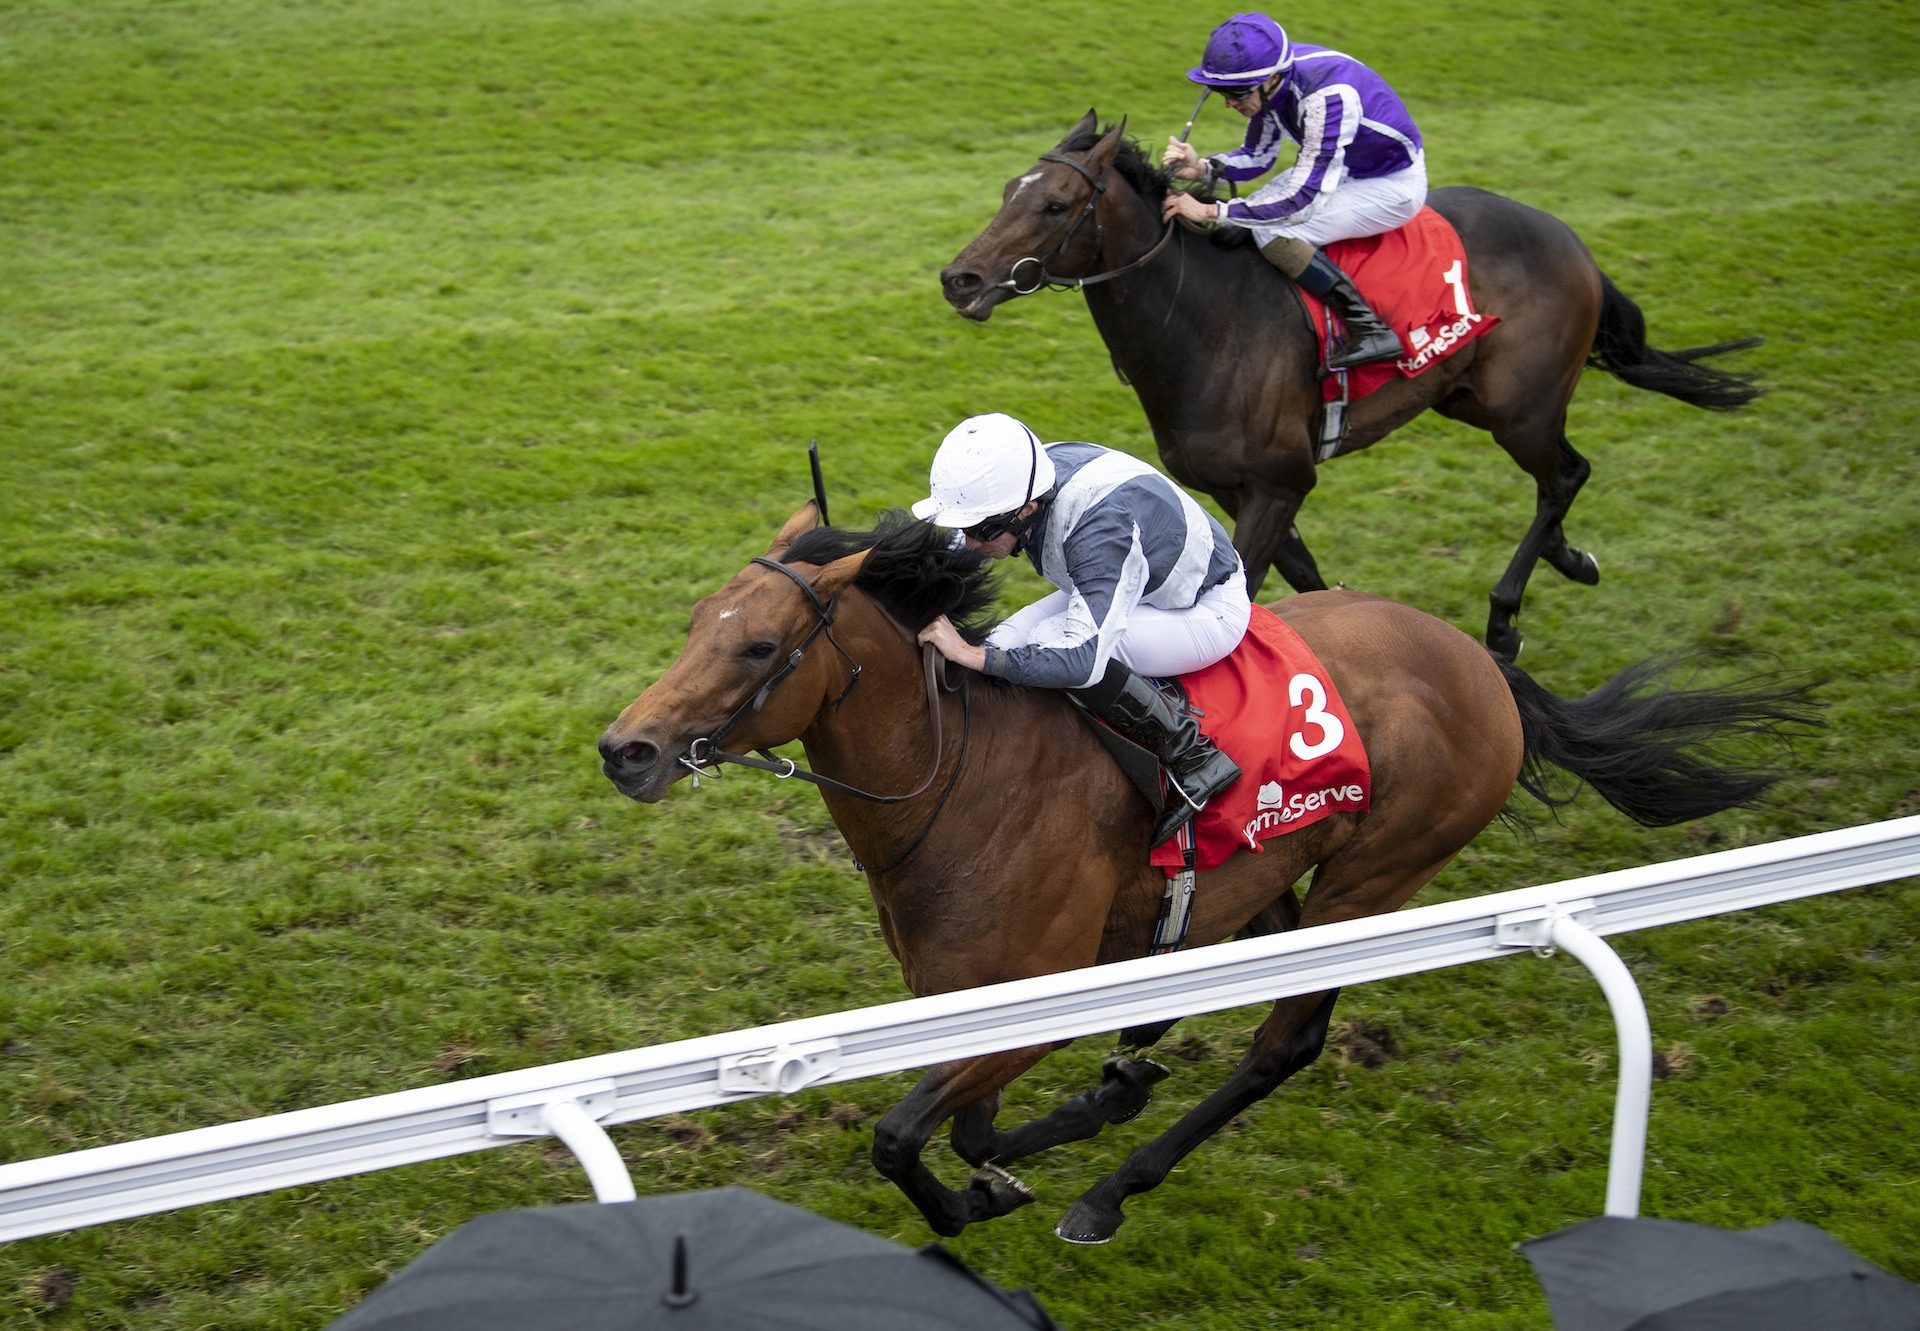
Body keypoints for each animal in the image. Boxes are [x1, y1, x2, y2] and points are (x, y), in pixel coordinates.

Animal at [599, 503, 1812, 1244]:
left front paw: (1020, 1169)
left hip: (1377, 877)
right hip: (1270, 872)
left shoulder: (1043, 993)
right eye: (697, 620)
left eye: (760, 648)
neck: (958, 774)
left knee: (1287, 1043)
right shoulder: (965, 1004)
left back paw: (1110, 1189)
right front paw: (1078, 1111)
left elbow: (903, 1136)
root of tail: (1479, 660)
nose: (628, 749)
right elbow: (968, 1130)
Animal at [936, 110, 1758, 660]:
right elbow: (1307, 583)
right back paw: (1571, 558)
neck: (1203, 323)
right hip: (1468, 397)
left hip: (1518, 407)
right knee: (1567, 473)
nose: (960, 279)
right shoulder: (1238, 487)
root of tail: (1568, 237)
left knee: (1563, 475)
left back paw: (1504, 617)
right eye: (1008, 189)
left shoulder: (1280, 481)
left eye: (1052, 204)